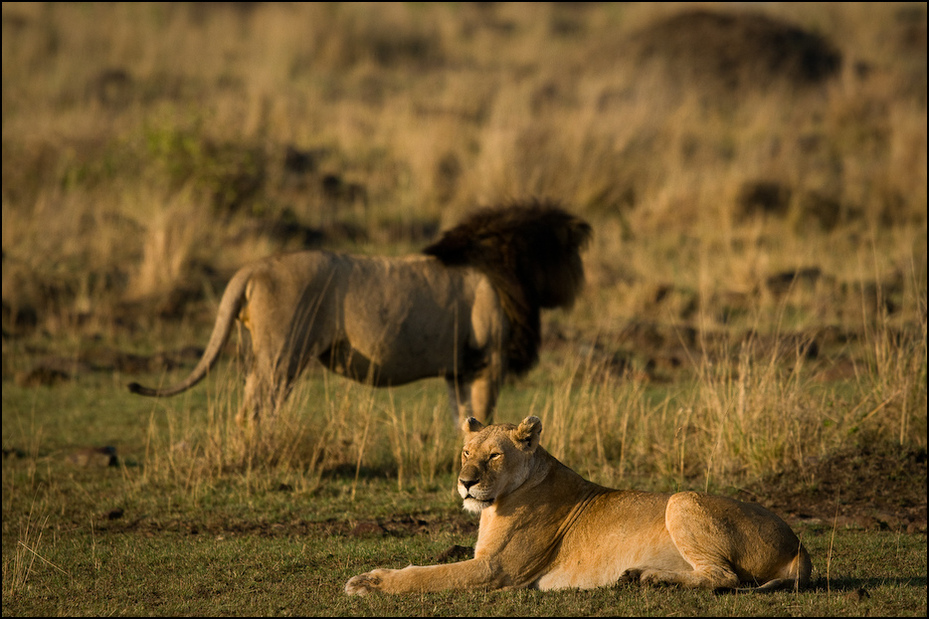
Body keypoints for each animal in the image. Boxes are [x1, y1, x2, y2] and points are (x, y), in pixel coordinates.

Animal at [128, 201, 592, 424]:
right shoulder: (488, 360)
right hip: (281, 355)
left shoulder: (459, 368)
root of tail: (254, 267)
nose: (580, 282)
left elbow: (463, 417)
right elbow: (485, 412)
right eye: (571, 255)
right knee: (256, 410)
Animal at [344, 416, 808, 596]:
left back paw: (648, 578)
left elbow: (430, 575)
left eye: (494, 456)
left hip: (681, 499)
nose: (466, 483)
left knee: (725, 577)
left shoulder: (497, 570)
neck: (498, 502)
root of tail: (798, 543)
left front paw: (369, 582)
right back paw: (638, 576)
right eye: (465, 453)